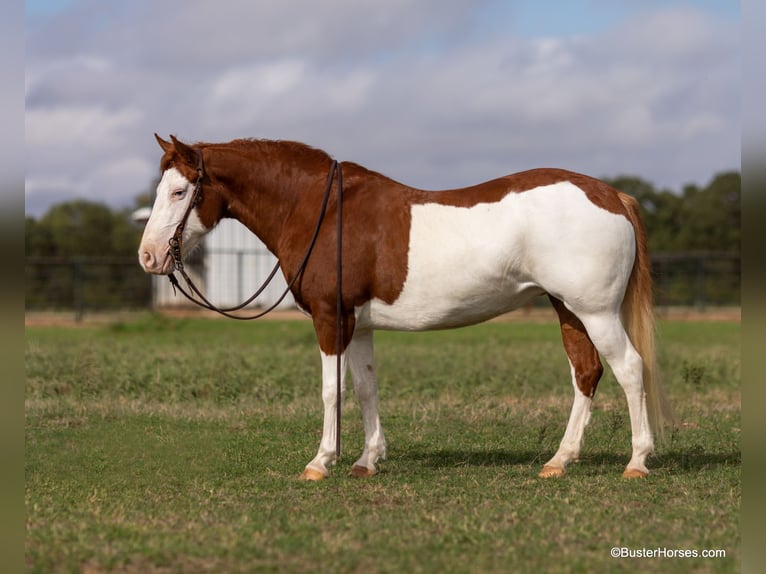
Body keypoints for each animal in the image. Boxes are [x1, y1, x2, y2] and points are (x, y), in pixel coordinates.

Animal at [141, 135, 676, 482]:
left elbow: (331, 392)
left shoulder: (330, 320)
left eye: (179, 191)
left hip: (596, 312)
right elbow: (364, 389)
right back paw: (560, 461)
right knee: (586, 372)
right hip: (568, 309)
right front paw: (366, 461)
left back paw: (636, 461)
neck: (322, 211)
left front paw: (321, 462)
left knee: (630, 369)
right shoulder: (358, 325)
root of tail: (611, 194)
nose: (148, 256)